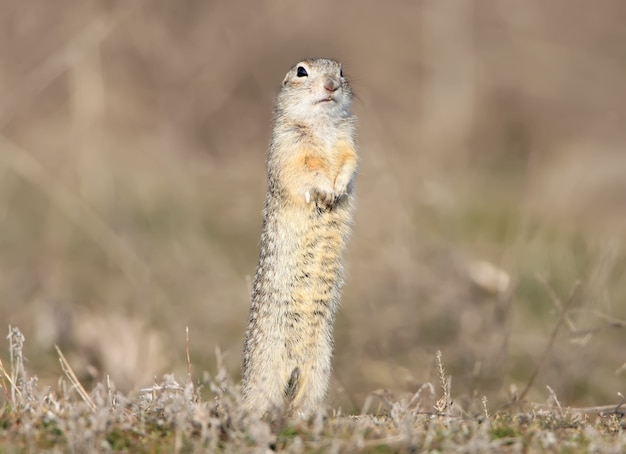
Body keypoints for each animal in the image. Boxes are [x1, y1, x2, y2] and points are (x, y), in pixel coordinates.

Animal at [240, 57, 356, 418]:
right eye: (301, 71)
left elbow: (349, 164)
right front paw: (325, 192)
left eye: (342, 71)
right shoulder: (289, 148)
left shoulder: (348, 144)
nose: (332, 85)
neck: (321, 127)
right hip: (266, 371)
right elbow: (305, 172)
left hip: (320, 369)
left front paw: (338, 189)